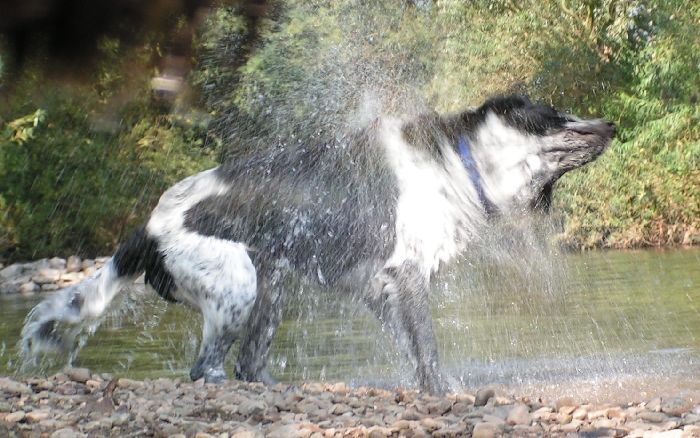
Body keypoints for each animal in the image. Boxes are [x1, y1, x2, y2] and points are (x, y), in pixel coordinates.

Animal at [20, 95, 612, 394]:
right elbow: (428, 348)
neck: (454, 166)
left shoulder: (381, 292)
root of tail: (148, 227)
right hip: (238, 283)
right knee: (207, 369)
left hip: (271, 283)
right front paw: (444, 395)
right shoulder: (407, 276)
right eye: (557, 116)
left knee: (249, 362)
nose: (610, 122)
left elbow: (414, 351)